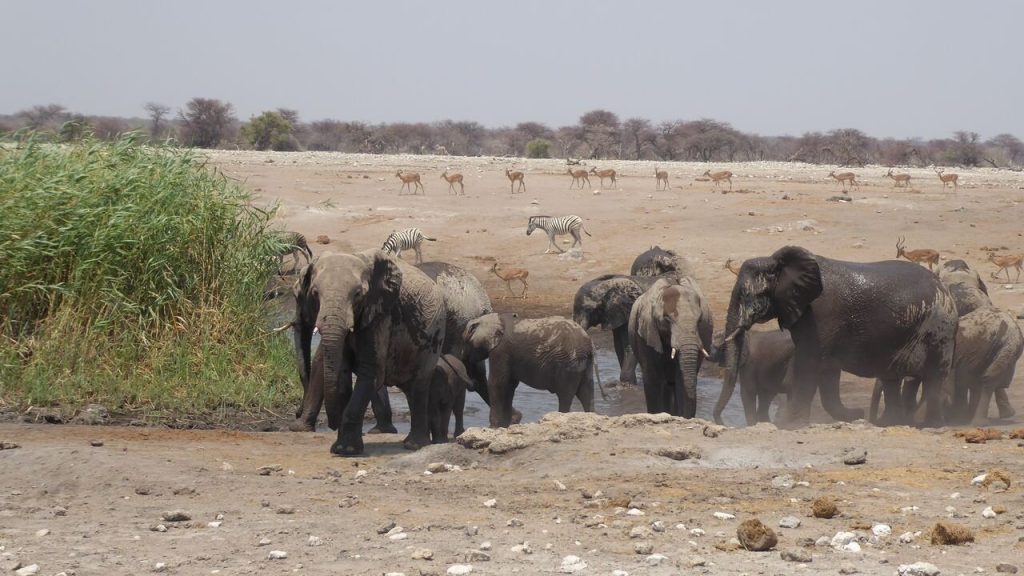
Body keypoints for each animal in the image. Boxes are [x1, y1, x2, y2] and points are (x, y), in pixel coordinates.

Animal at [292, 249, 446, 455]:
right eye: (315, 293)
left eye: (358, 294)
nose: (297, 412)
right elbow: (340, 372)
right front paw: (342, 447)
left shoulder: (379, 315)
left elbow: (371, 372)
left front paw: (345, 450)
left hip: (433, 337)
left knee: (419, 385)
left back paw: (414, 445)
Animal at [463, 313, 596, 428]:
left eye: (465, 341)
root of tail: (588, 343)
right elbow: (509, 386)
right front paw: (506, 426)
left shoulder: (500, 351)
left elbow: (498, 384)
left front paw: (493, 428)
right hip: (584, 364)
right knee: (587, 393)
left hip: (568, 362)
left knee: (565, 395)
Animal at [716, 246, 958, 428]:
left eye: (746, 294)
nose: (721, 422)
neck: (779, 265)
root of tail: (946, 290)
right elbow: (827, 372)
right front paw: (855, 415)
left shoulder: (821, 315)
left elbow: (810, 363)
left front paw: (789, 426)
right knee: (892, 379)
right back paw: (889, 423)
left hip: (940, 330)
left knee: (933, 378)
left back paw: (931, 425)